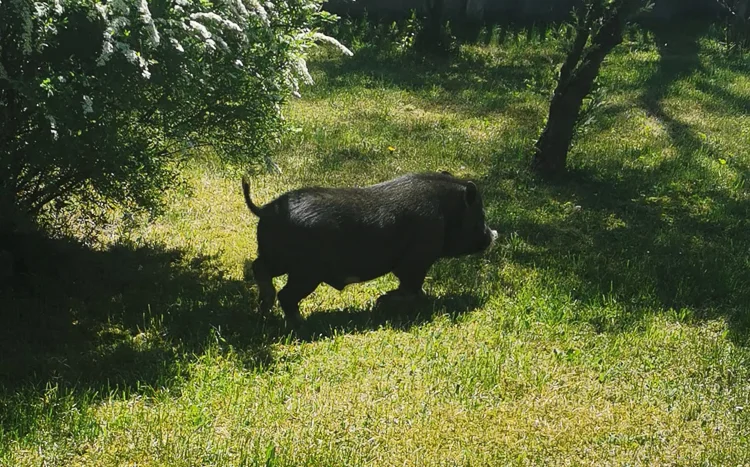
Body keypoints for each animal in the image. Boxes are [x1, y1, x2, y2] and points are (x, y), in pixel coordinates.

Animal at [242, 171, 500, 326]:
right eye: (480, 215)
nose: (493, 234)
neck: (445, 211)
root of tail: (266, 210)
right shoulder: (418, 258)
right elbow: (411, 287)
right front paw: (381, 301)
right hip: (307, 271)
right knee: (286, 294)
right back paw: (301, 322)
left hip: (276, 257)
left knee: (258, 267)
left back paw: (266, 307)